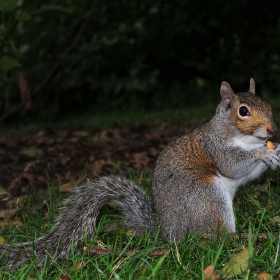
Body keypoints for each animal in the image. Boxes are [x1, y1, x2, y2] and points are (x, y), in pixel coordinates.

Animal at [0, 78, 280, 270]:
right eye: (243, 111)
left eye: (268, 103)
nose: (272, 129)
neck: (245, 138)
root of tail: (169, 234)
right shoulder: (216, 147)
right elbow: (232, 166)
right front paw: (262, 154)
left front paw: (275, 151)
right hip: (207, 197)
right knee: (212, 235)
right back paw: (238, 237)